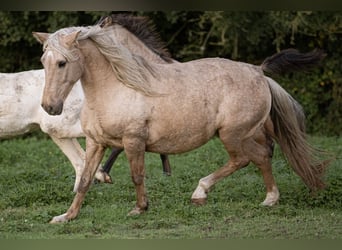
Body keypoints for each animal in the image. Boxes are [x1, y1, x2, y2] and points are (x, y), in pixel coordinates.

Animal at [33, 16, 328, 223]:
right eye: (43, 60)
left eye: (62, 63)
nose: (50, 107)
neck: (117, 87)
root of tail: (259, 71)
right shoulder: (96, 143)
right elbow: (84, 179)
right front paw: (66, 216)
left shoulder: (133, 141)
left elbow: (137, 175)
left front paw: (139, 209)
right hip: (242, 134)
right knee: (261, 156)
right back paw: (269, 199)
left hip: (232, 134)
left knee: (246, 158)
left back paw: (204, 192)